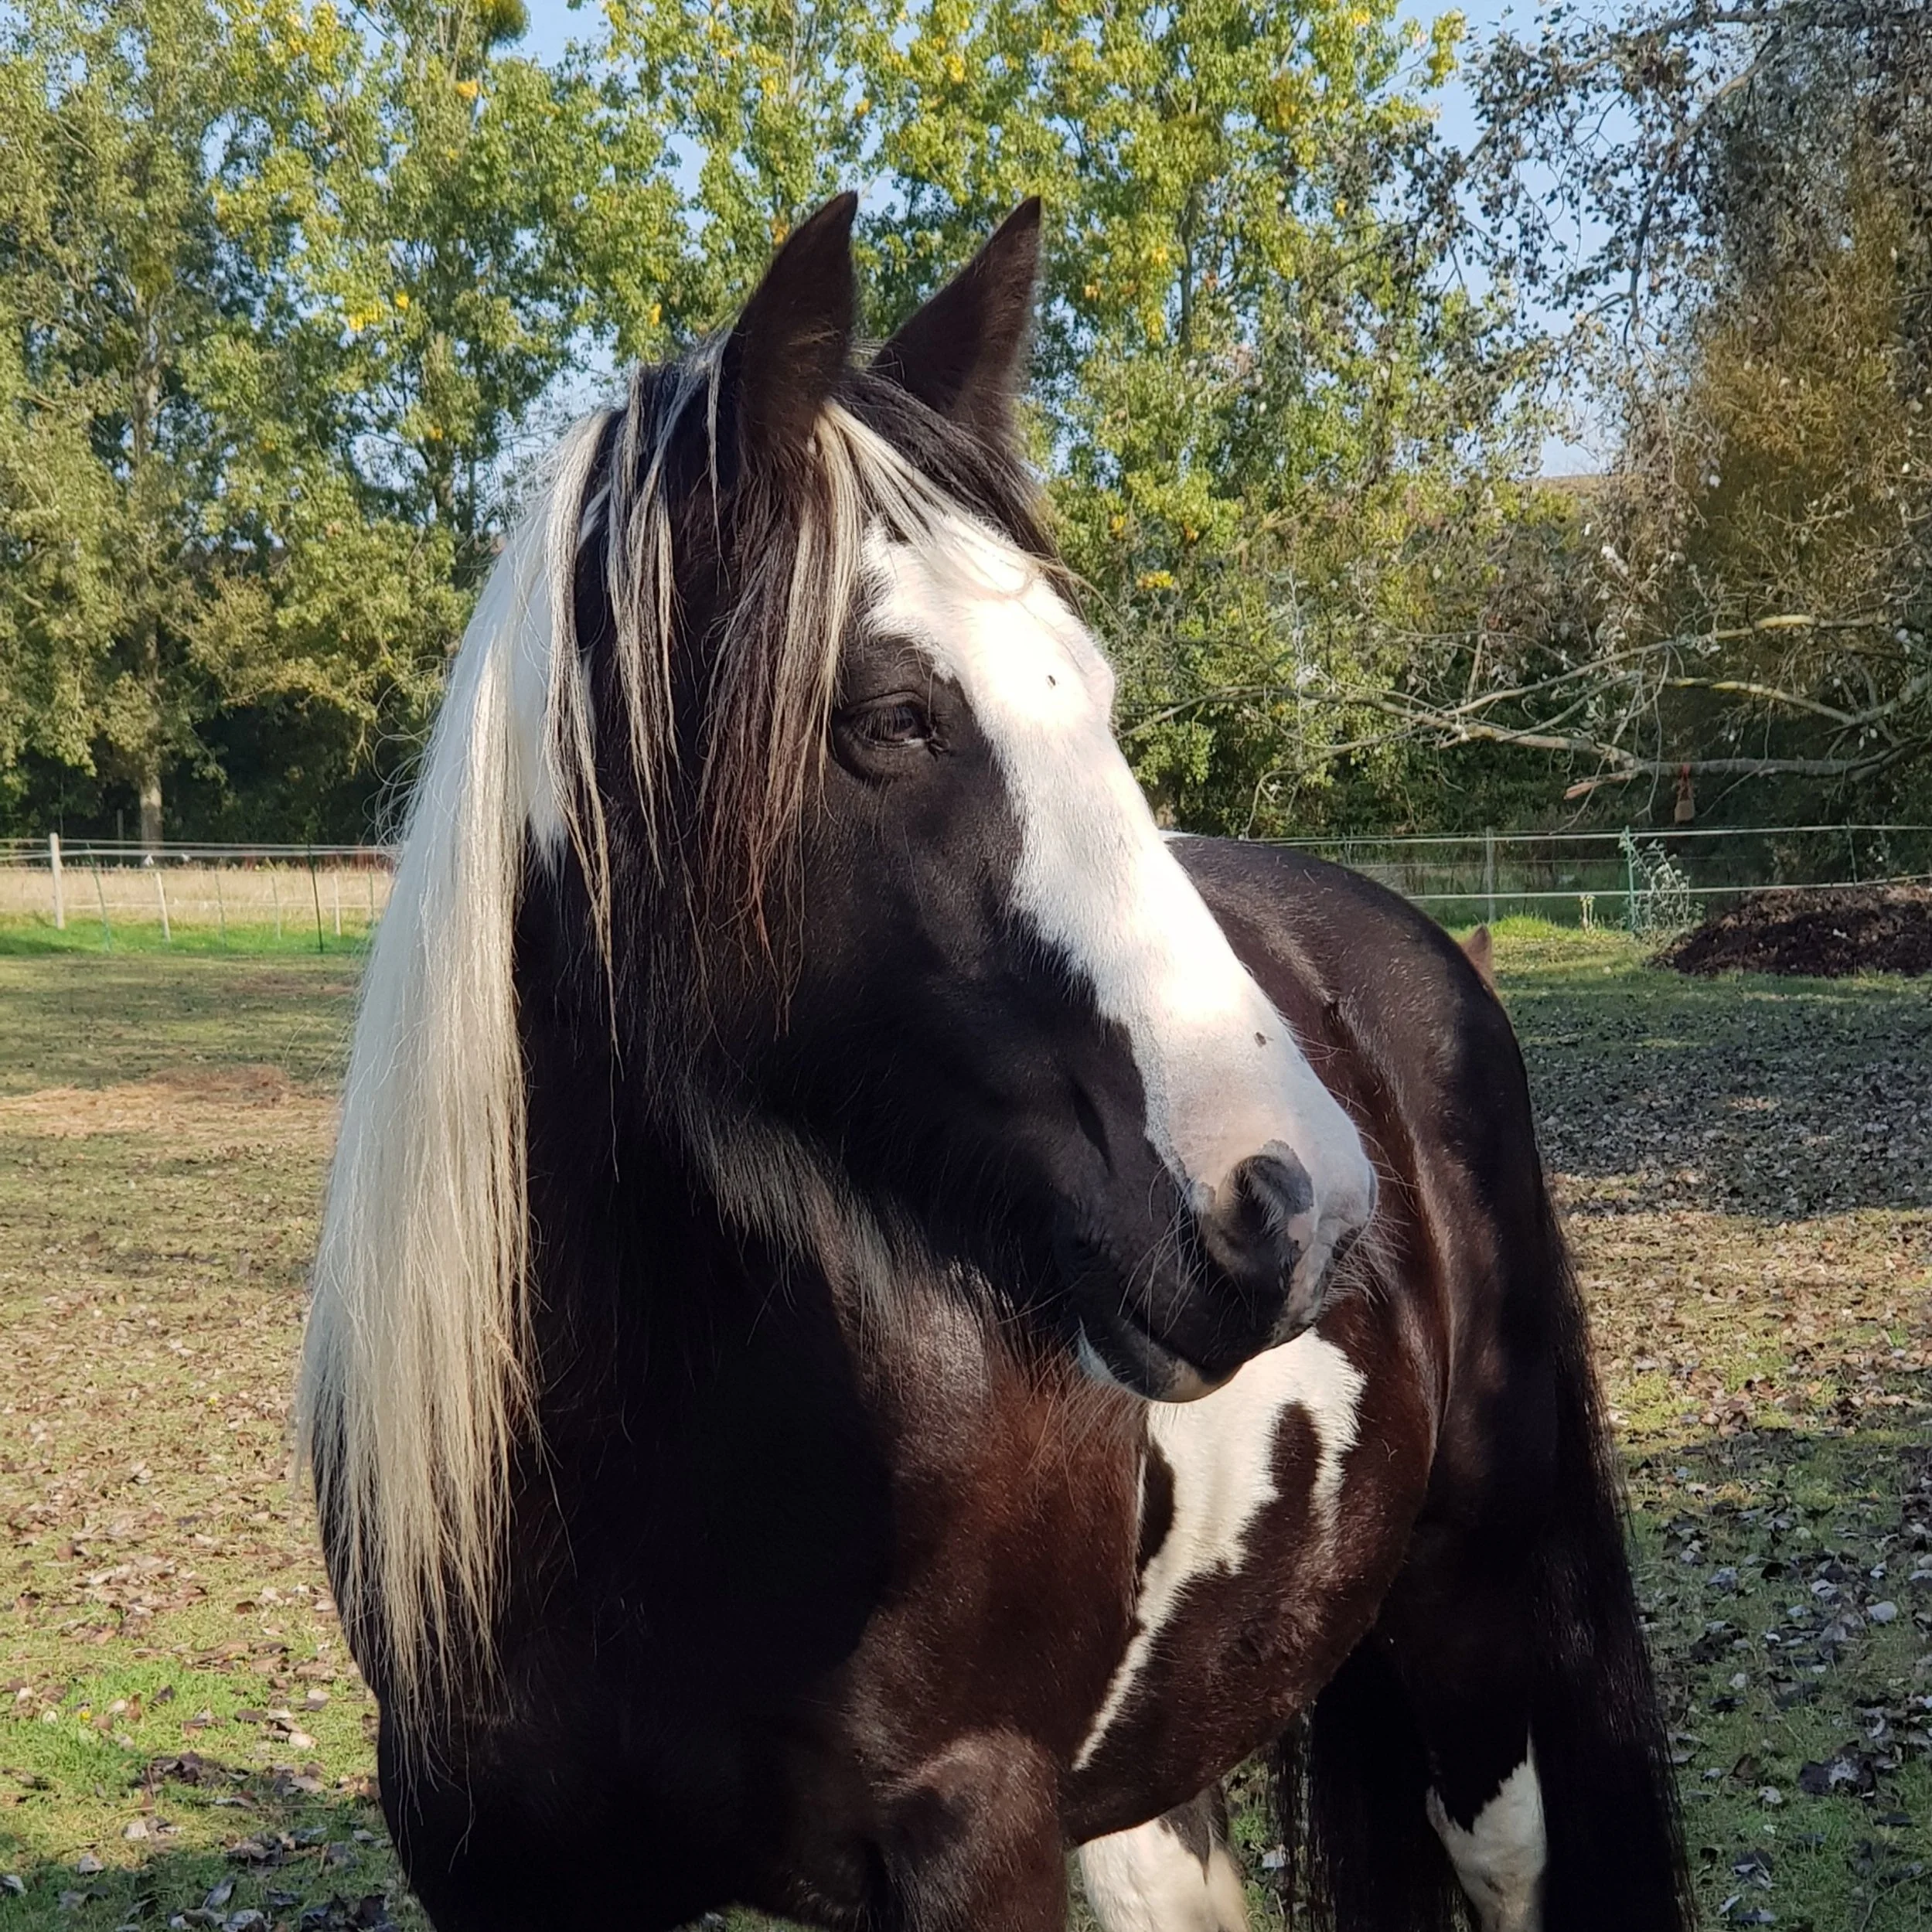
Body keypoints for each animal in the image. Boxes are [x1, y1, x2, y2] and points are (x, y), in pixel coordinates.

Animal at [299, 194, 1688, 1932]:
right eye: (892, 716)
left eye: (1089, 693)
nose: (1295, 1201)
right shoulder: (496, 1867)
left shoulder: (975, 1829)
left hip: (1482, 1645)